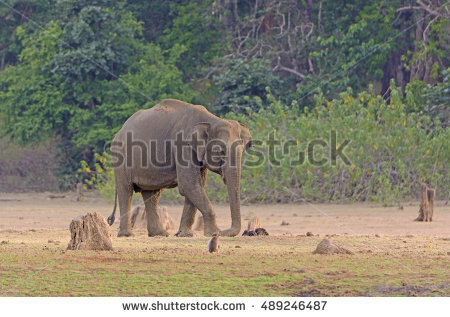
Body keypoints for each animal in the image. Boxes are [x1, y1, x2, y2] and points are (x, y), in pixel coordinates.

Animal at [106, 99, 253, 237]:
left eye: (242, 150)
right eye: (219, 151)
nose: (223, 231)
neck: (211, 120)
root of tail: (119, 131)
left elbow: (196, 185)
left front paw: (185, 234)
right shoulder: (183, 146)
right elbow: (189, 185)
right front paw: (213, 233)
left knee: (152, 194)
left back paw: (159, 234)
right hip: (120, 157)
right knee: (126, 190)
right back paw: (127, 234)